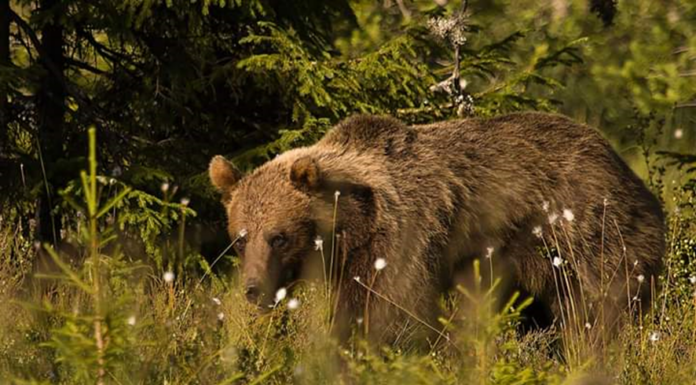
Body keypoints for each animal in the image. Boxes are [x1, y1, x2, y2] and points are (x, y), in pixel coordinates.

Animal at [209, 111, 668, 342]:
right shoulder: (353, 265)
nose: (253, 289)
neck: (355, 226)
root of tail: (614, 156)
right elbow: (350, 310)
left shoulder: (402, 236)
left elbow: (397, 308)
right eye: (240, 239)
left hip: (588, 227)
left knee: (603, 298)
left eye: (279, 236)